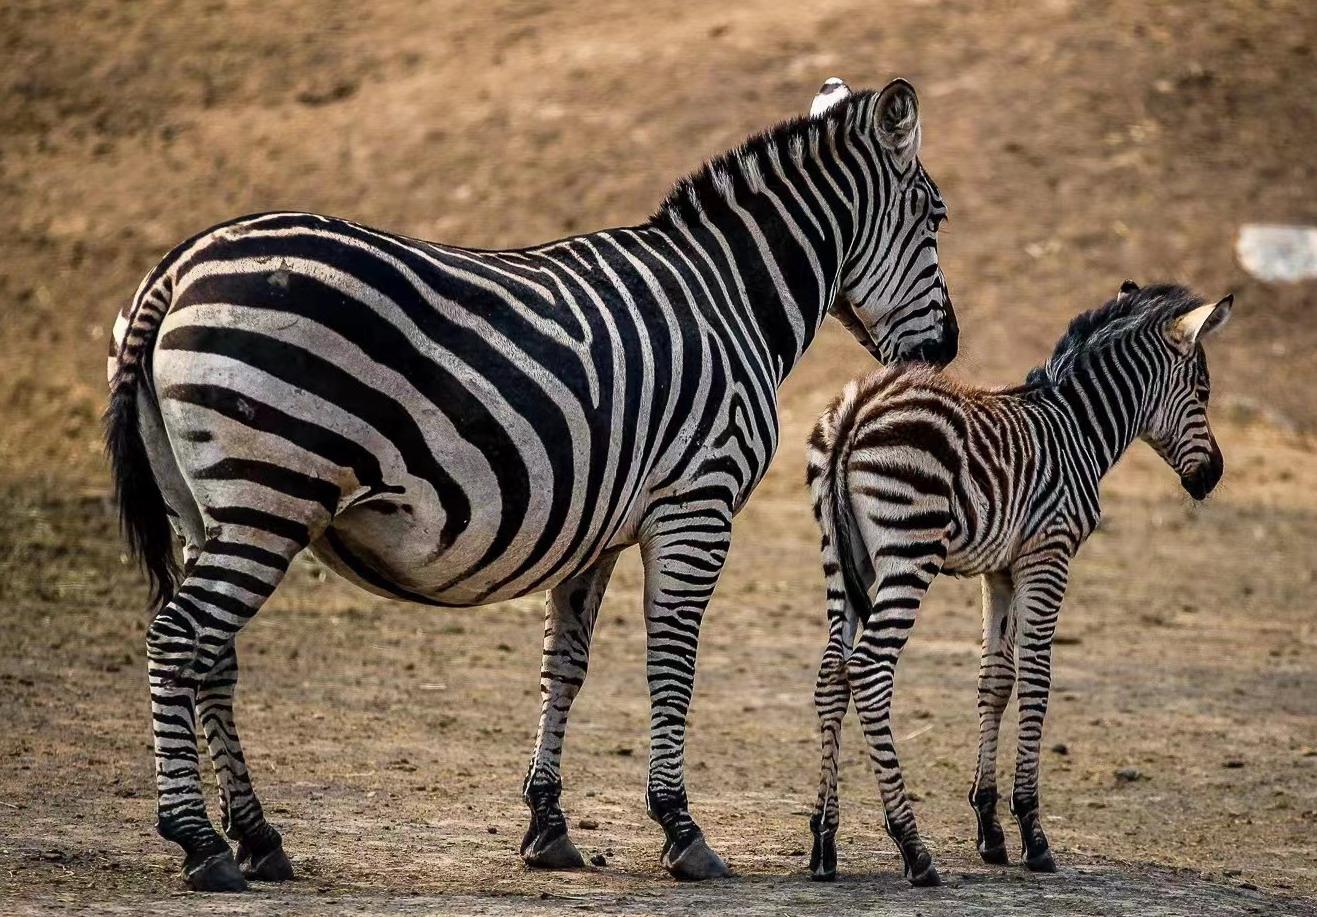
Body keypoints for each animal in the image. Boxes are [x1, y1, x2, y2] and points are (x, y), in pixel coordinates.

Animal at [105, 75, 958, 890]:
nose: (944, 351)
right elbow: (671, 663)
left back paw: (256, 836)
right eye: (934, 219)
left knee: (212, 655)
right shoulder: (696, 503)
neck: (732, 298)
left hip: (205, 509)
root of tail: (177, 266)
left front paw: (547, 824)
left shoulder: (598, 525)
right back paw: (198, 841)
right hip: (270, 493)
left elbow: (565, 664)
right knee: (179, 638)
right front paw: (680, 829)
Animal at [800, 279, 1232, 880]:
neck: (1079, 428)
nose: (1213, 476)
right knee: (868, 670)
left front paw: (989, 827)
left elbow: (995, 679)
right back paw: (913, 847)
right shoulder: (1048, 554)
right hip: (910, 552)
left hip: (841, 558)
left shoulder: (1000, 569)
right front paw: (1031, 830)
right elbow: (1036, 678)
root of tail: (857, 411)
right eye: (1204, 392)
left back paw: (824, 841)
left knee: (831, 674)